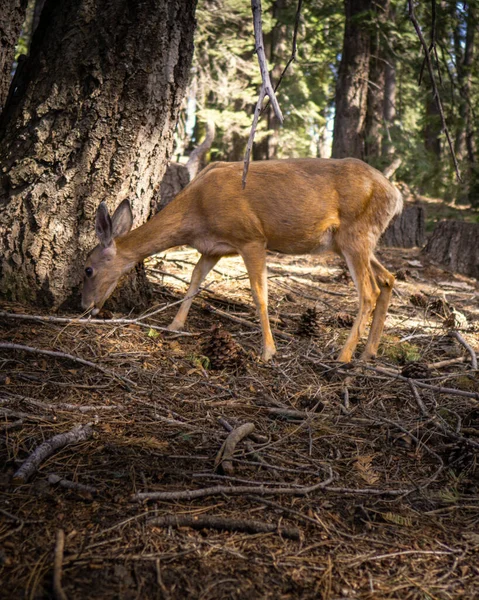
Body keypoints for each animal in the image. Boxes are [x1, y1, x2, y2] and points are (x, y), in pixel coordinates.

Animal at [80, 158, 404, 360]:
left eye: (88, 269)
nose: (85, 306)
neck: (196, 212)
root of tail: (396, 195)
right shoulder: (213, 248)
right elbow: (194, 282)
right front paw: (174, 326)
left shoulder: (251, 238)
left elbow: (259, 295)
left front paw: (268, 351)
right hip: (345, 241)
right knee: (388, 279)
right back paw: (368, 352)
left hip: (355, 233)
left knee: (369, 291)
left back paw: (344, 356)